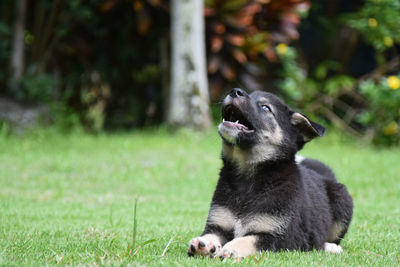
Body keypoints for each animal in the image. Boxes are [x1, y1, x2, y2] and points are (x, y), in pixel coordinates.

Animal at [188, 89, 354, 260]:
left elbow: (249, 239)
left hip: (342, 201)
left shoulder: (282, 237)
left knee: (328, 241)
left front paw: (232, 248)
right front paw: (204, 243)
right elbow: (211, 234)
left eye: (265, 107)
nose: (235, 91)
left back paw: (331, 247)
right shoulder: (218, 224)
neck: (247, 178)